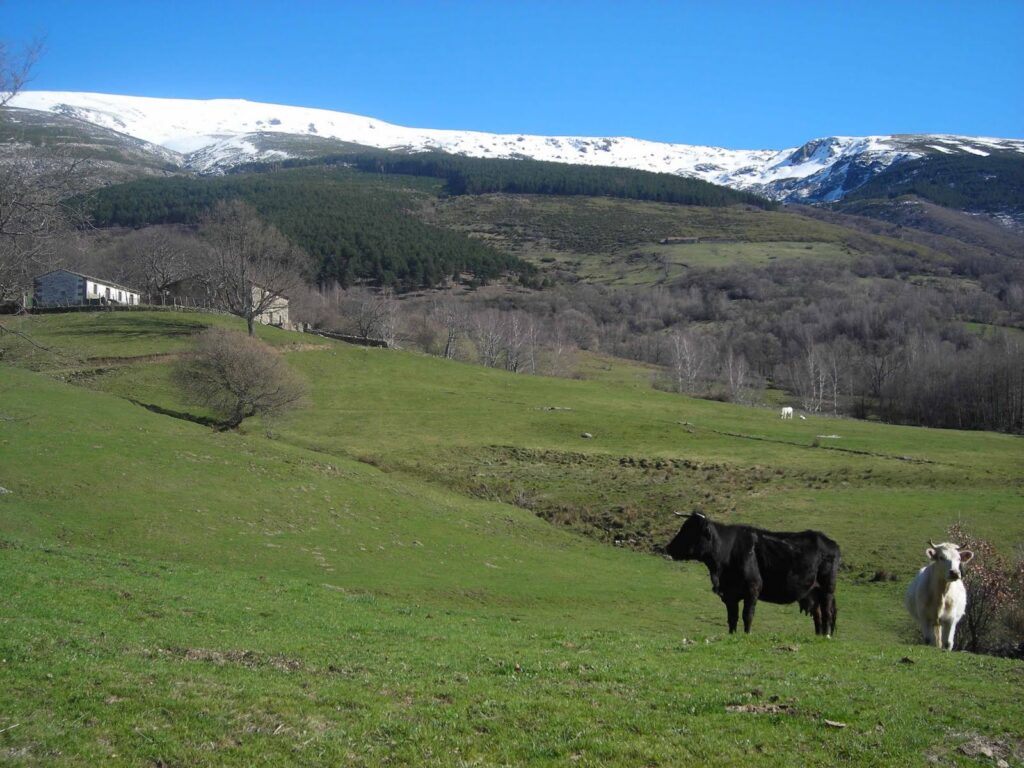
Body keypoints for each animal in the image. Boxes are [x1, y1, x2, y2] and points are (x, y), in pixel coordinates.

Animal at [663, 512, 839, 638]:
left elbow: (747, 615)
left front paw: (747, 635)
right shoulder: (729, 594)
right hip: (813, 591)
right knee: (818, 614)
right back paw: (818, 635)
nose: (667, 548)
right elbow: (732, 617)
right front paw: (732, 635)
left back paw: (826, 636)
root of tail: (830, 542)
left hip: (827, 588)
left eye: (690, 531)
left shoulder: (753, 588)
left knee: (827, 612)